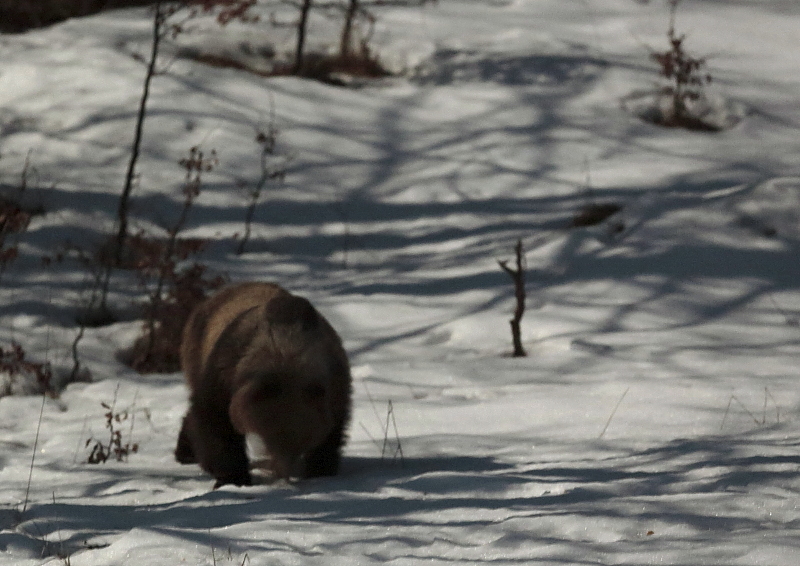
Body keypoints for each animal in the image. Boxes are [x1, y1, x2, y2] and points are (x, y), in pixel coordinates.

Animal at [177, 284, 352, 488]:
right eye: (270, 437)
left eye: (304, 441)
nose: (284, 475)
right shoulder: (224, 373)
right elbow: (216, 422)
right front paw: (232, 477)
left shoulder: (334, 385)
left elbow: (331, 435)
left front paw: (320, 471)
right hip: (197, 351)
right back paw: (186, 452)